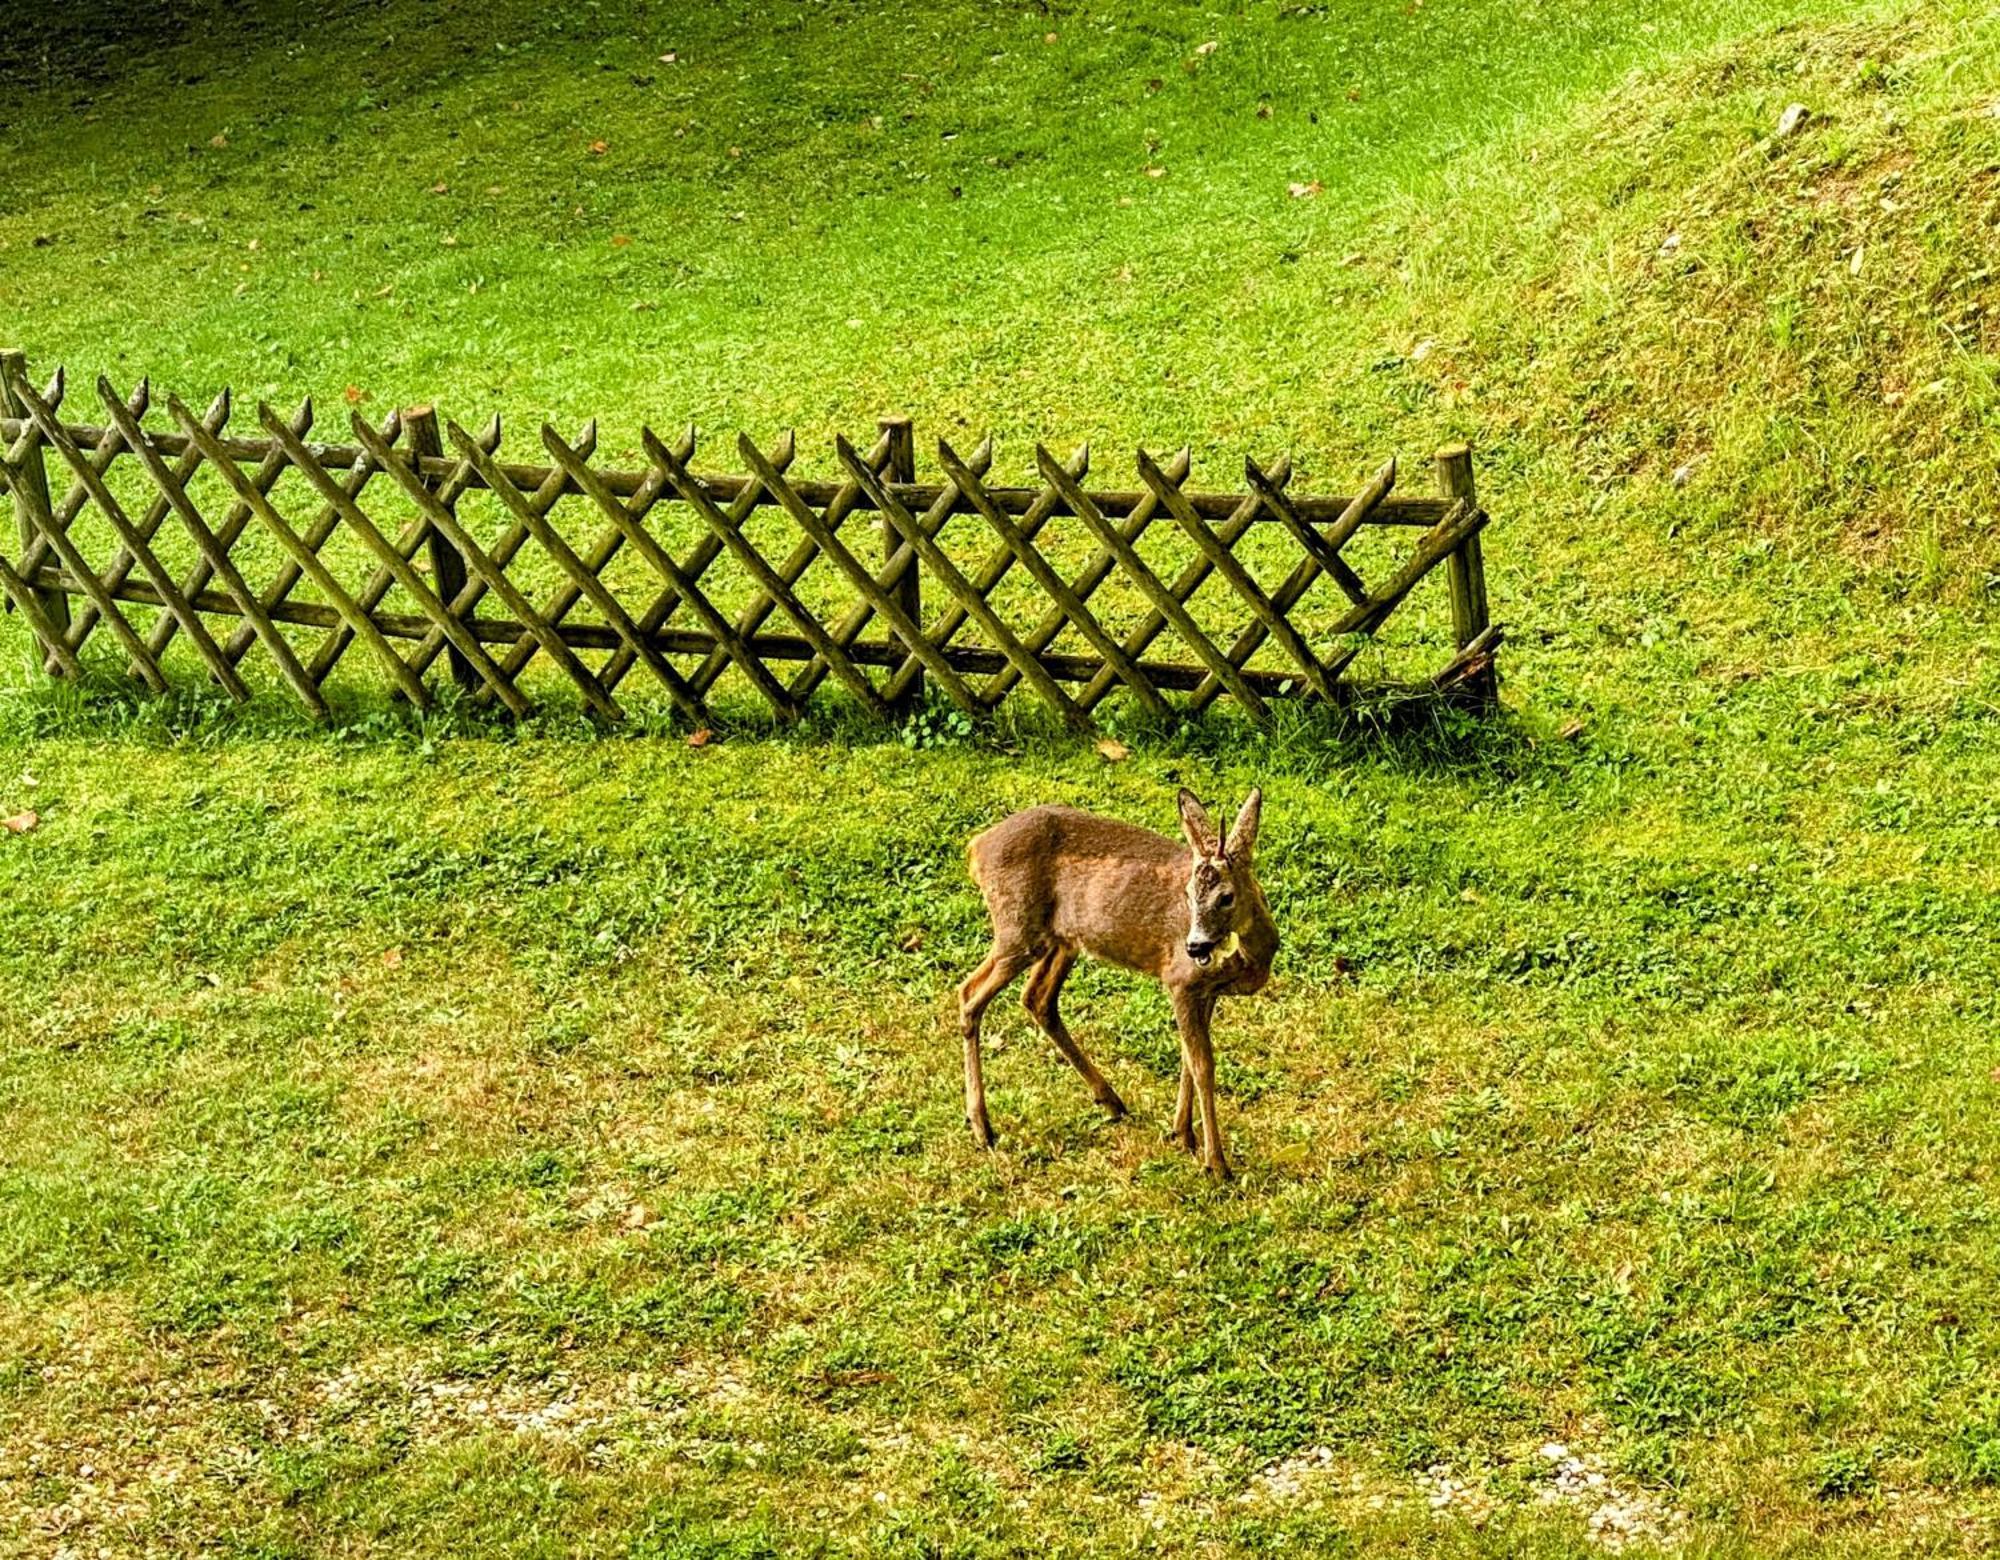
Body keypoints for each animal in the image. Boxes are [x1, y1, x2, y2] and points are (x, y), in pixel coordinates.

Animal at [956, 788, 1272, 1176]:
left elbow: (1188, 1058)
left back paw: (1111, 1100)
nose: (1195, 945)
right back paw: (982, 1126)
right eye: (1187, 894)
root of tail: (976, 847)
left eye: (1226, 896)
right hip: (1017, 928)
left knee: (1037, 998)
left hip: (1061, 940)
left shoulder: (1206, 991)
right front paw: (1216, 1163)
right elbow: (1203, 1066)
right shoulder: (1180, 980)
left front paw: (1182, 1134)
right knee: (970, 993)